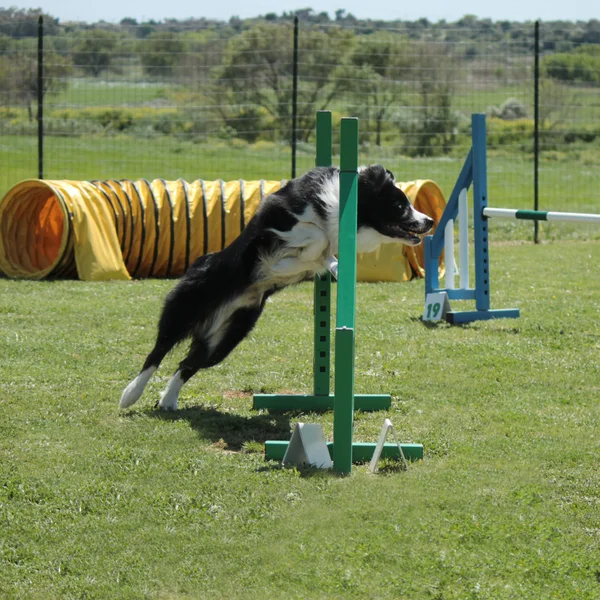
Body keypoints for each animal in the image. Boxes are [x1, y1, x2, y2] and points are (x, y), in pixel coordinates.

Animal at [119, 164, 434, 410]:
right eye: (399, 206)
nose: (430, 220)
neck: (344, 200)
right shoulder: (277, 218)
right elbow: (317, 235)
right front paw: (290, 262)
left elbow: (323, 250)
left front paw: (325, 265)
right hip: (187, 305)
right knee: (157, 352)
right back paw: (130, 395)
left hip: (227, 338)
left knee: (188, 363)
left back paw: (168, 400)